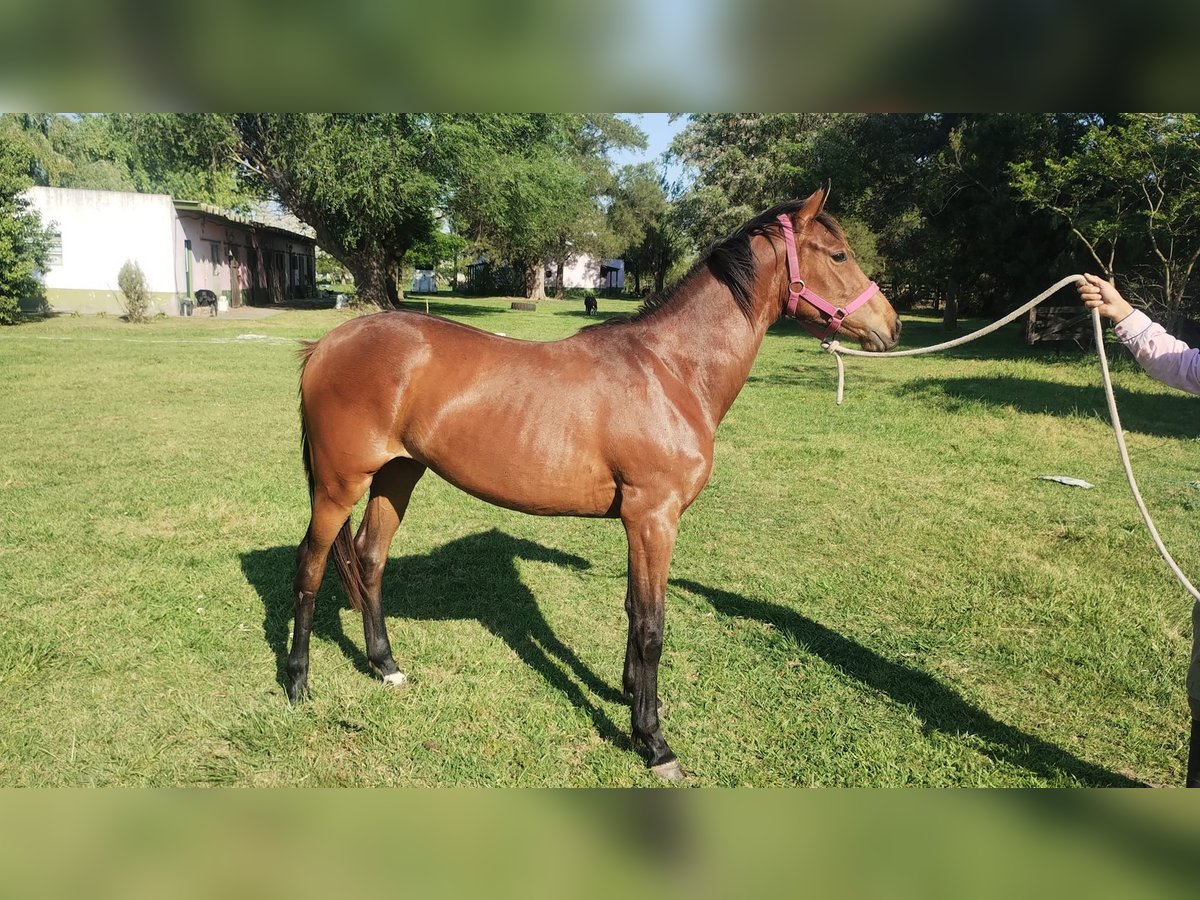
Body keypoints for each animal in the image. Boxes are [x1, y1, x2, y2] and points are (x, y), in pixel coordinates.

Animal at [290, 188, 902, 782]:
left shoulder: (640, 522)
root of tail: (325, 345)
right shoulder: (654, 518)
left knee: (370, 559)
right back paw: (298, 683)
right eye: (839, 255)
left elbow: (633, 608)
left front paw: (630, 697)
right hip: (339, 485)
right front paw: (654, 742)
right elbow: (652, 624)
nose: (891, 326)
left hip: (398, 474)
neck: (671, 370)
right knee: (312, 567)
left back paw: (385, 666)